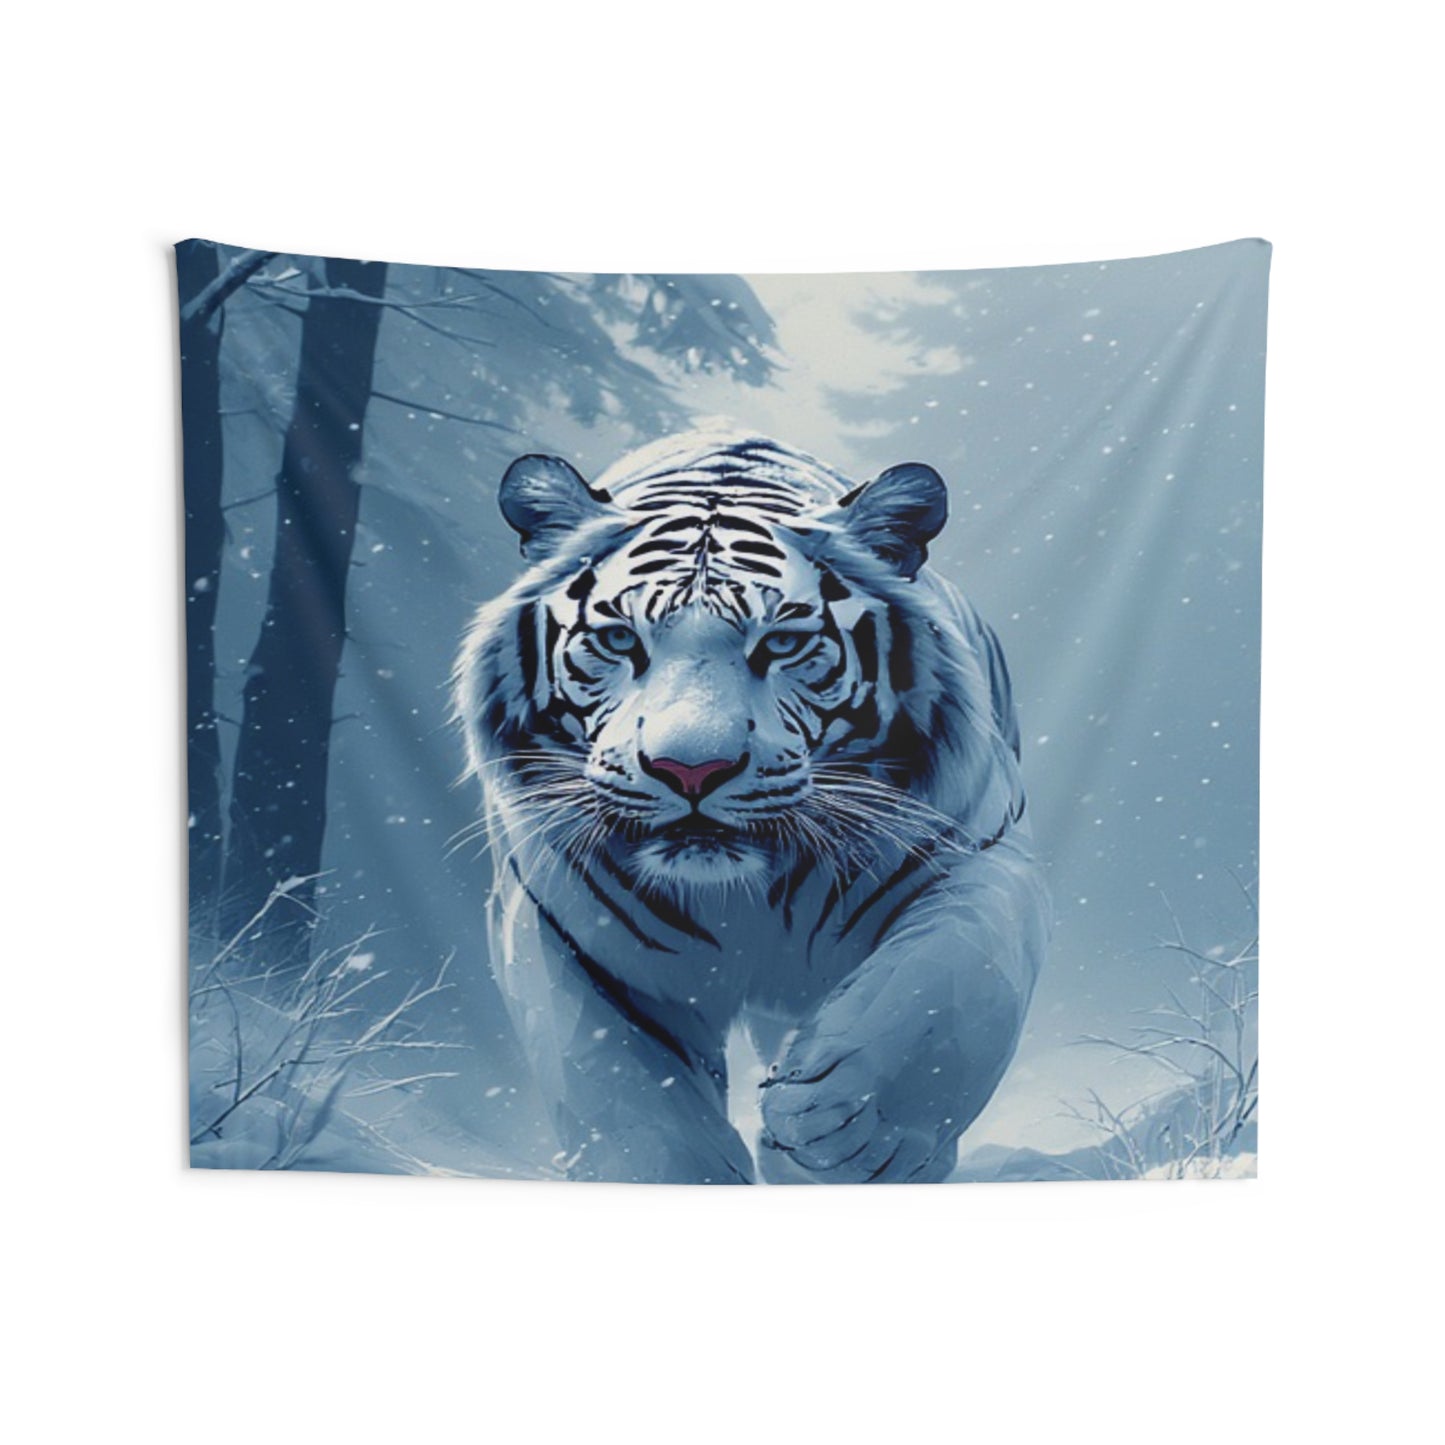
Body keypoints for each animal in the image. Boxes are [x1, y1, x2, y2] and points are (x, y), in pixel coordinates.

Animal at [452, 429, 1050, 1184]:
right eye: (619, 640)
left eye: (783, 643)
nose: (690, 769)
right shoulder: (557, 923)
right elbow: (624, 1097)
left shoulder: (982, 852)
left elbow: (947, 980)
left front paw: (843, 1131)